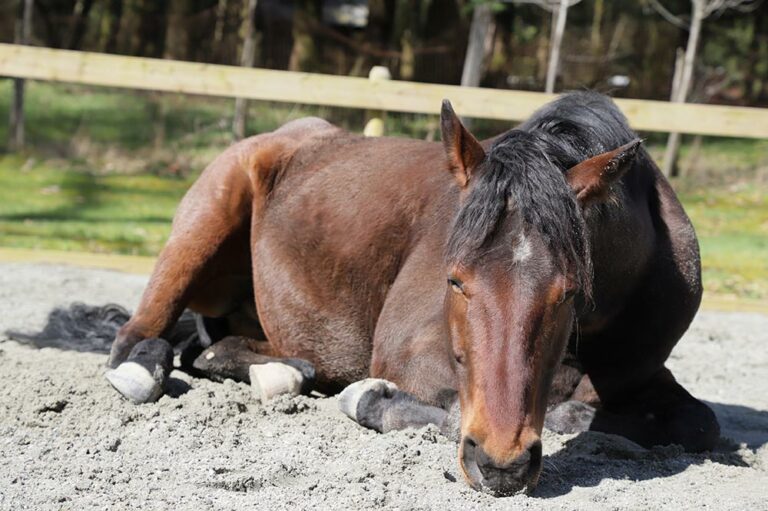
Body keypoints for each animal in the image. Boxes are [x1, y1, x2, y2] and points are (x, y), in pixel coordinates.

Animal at [104, 91, 719, 496]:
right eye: (454, 279)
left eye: (569, 293)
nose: (503, 464)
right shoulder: (410, 355)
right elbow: (447, 409)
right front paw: (368, 399)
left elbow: (698, 425)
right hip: (203, 224)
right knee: (138, 337)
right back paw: (144, 369)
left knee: (211, 351)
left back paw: (282, 371)